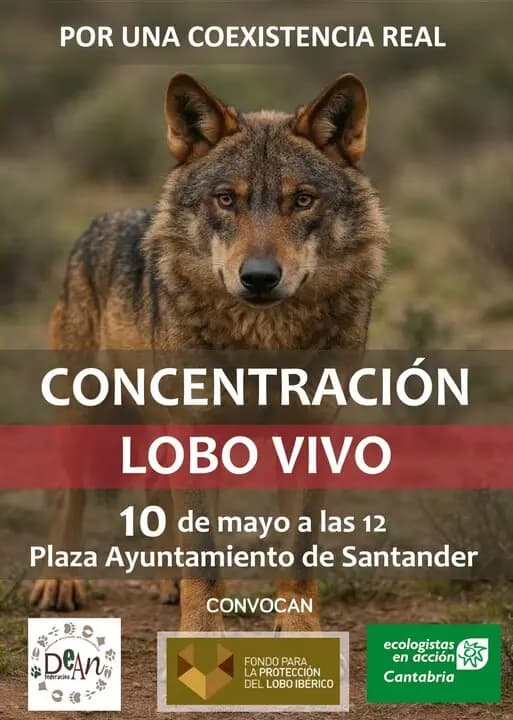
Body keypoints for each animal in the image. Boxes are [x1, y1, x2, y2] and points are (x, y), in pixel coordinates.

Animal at [30, 72, 388, 631]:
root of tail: (100, 220)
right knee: (73, 494)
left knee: (157, 492)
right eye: (226, 199)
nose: (259, 277)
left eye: (303, 200)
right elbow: (204, 553)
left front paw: (300, 629)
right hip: (85, 412)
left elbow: (298, 550)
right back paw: (60, 582)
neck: (265, 344)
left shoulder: (311, 432)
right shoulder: (196, 429)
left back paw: (167, 583)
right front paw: (201, 633)